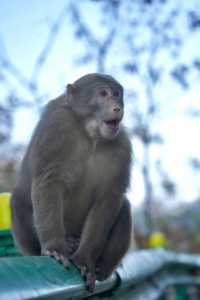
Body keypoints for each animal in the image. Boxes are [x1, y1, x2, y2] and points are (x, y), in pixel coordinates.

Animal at [10, 72, 133, 290]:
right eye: (103, 94)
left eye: (117, 94)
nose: (118, 107)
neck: (91, 135)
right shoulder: (56, 126)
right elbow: (48, 181)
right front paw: (55, 248)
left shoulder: (122, 147)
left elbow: (109, 198)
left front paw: (85, 259)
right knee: (17, 199)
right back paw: (66, 244)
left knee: (124, 206)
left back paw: (101, 268)